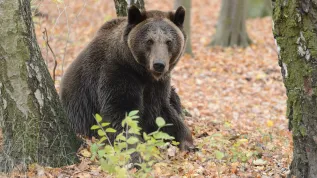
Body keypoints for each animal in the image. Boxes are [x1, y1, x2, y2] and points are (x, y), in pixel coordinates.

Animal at [58, 5, 193, 150]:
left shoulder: (157, 85)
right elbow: (121, 114)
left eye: (169, 41)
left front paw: (187, 142)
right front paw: (133, 149)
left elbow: (162, 113)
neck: (142, 72)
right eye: (149, 41)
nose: (159, 64)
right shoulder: (117, 73)